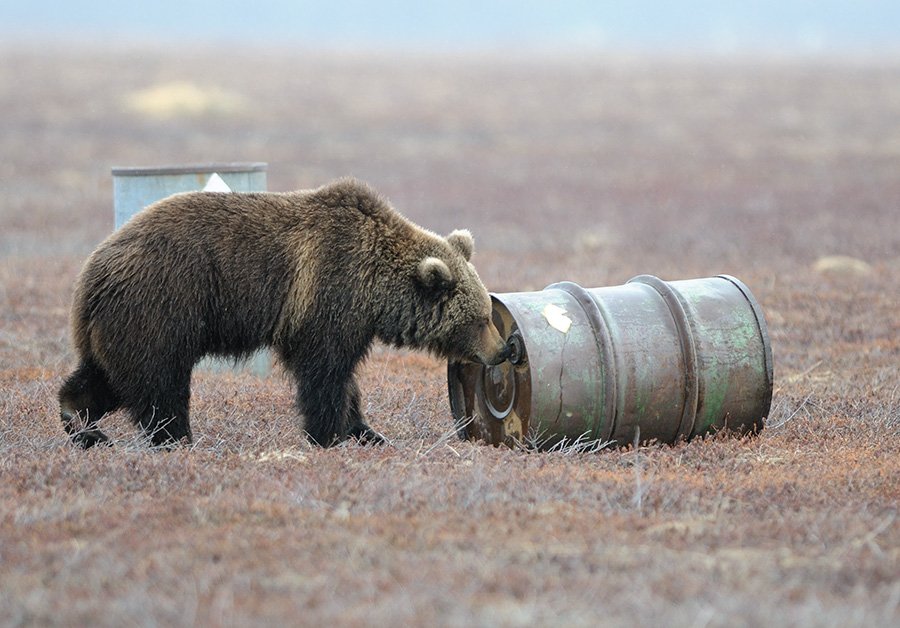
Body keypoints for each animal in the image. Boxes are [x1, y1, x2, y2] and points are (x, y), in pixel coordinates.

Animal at [59, 179, 510, 448]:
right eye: (480, 319)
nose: (503, 349)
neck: (376, 289)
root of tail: (91, 274)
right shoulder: (327, 293)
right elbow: (324, 374)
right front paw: (330, 435)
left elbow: (344, 379)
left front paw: (368, 432)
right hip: (161, 305)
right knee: (159, 383)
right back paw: (178, 437)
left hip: (120, 324)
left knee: (108, 378)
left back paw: (82, 424)